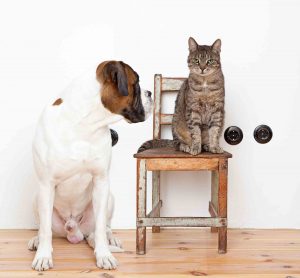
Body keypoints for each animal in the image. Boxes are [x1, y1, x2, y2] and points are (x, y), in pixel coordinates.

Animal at [28, 61, 152, 272]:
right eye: (136, 82)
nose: (150, 93)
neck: (85, 125)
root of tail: (73, 230)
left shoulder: (101, 182)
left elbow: (101, 227)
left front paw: (104, 255)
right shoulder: (46, 185)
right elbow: (45, 230)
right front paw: (43, 256)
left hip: (109, 198)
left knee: (104, 227)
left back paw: (111, 238)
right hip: (38, 198)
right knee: (44, 227)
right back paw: (36, 240)